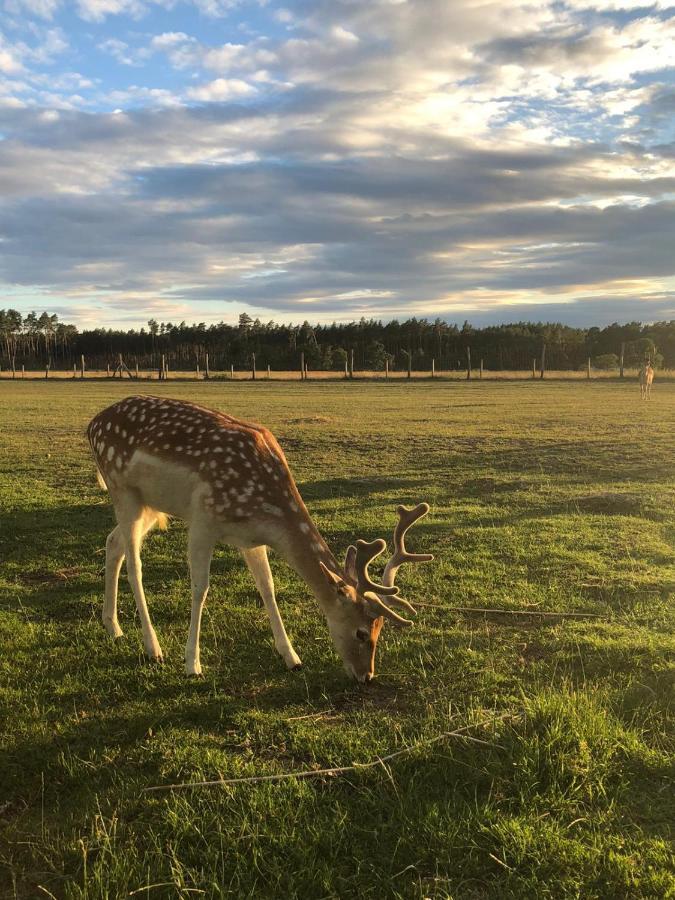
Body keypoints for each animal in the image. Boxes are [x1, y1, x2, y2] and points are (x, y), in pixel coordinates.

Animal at [86, 396, 434, 684]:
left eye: (380, 629)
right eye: (362, 633)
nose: (366, 676)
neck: (265, 505)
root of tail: (92, 424)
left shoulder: (251, 538)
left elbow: (267, 587)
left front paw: (292, 657)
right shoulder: (203, 520)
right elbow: (200, 590)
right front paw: (192, 664)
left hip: (150, 505)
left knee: (113, 543)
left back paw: (113, 626)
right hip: (123, 491)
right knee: (134, 563)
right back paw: (152, 647)